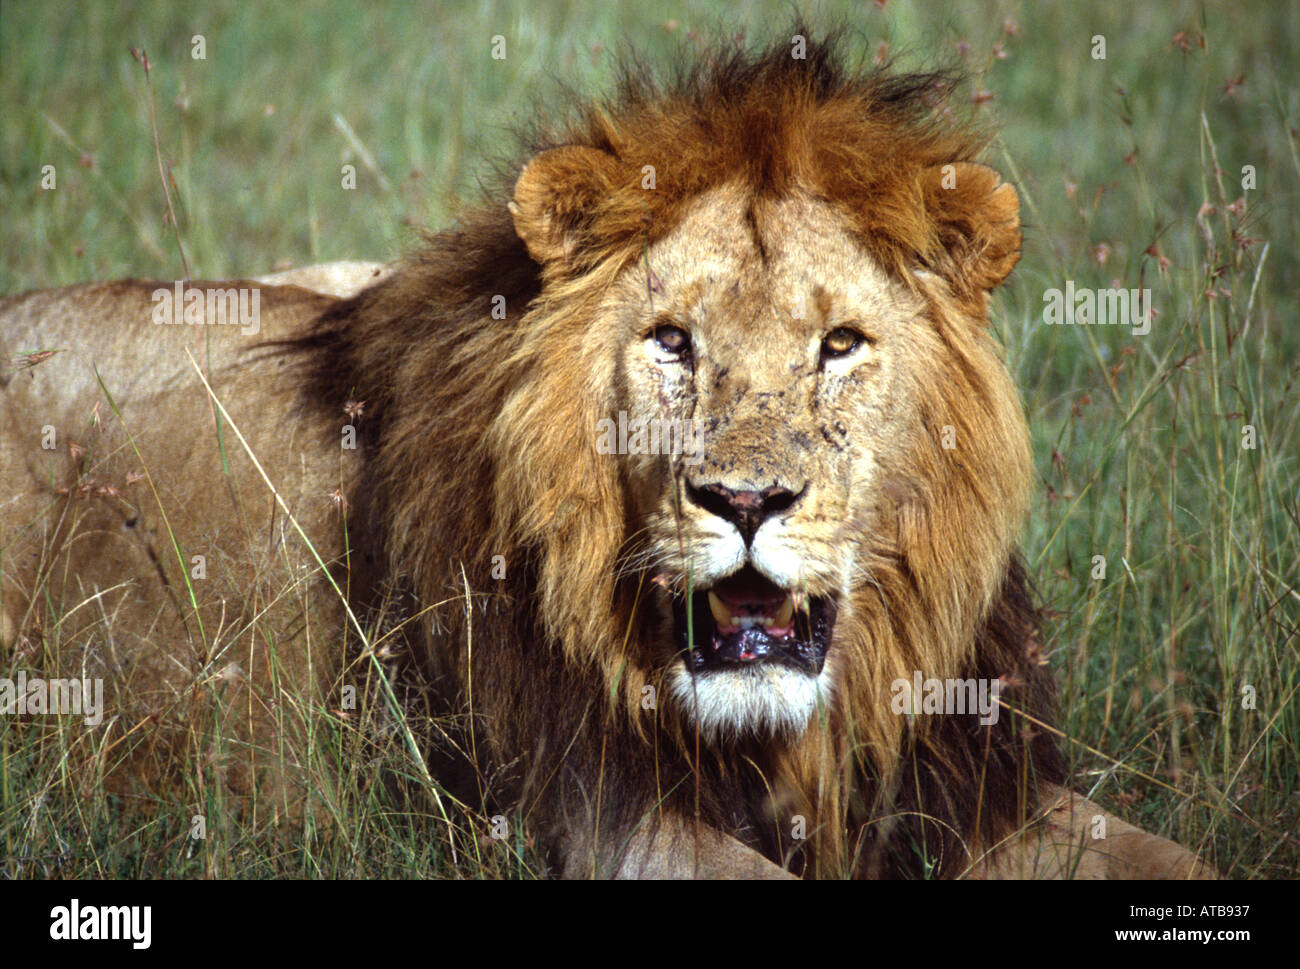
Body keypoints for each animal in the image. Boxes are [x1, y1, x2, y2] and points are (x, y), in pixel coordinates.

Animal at [0, 33, 1213, 878]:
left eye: (839, 344)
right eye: (672, 341)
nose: (746, 500)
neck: (786, 735)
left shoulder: (976, 783)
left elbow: (1184, 855)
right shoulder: (593, 814)